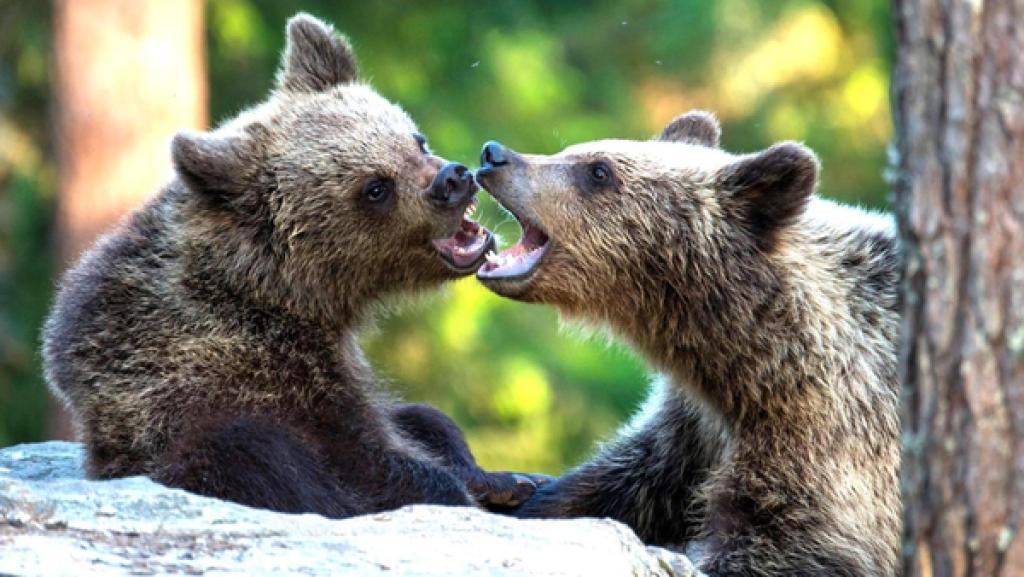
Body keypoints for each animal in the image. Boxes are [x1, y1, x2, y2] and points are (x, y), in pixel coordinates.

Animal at [42, 13, 541, 517]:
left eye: (415, 141)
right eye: (375, 187)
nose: (453, 179)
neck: (283, 292)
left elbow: (418, 421)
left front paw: (506, 478)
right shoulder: (255, 366)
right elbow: (360, 457)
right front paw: (457, 489)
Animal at [473, 112, 901, 576]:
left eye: (598, 171)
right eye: (571, 152)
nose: (495, 155)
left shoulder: (830, 432)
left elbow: (783, 539)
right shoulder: (692, 424)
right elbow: (624, 478)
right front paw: (518, 492)